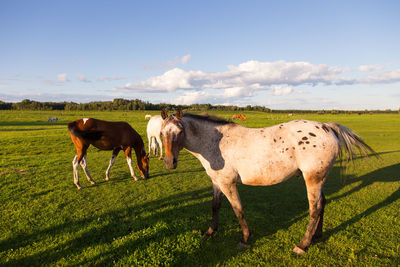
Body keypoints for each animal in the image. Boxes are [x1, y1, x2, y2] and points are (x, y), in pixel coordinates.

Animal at [159, 109, 376, 255]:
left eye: (179, 131)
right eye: (162, 133)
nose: (169, 162)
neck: (216, 143)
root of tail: (327, 127)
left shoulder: (228, 184)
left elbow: (238, 210)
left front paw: (245, 239)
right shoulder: (216, 182)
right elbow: (215, 206)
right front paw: (210, 232)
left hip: (313, 179)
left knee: (314, 209)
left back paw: (303, 245)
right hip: (318, 179)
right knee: (322, 204)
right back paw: (316, 236)